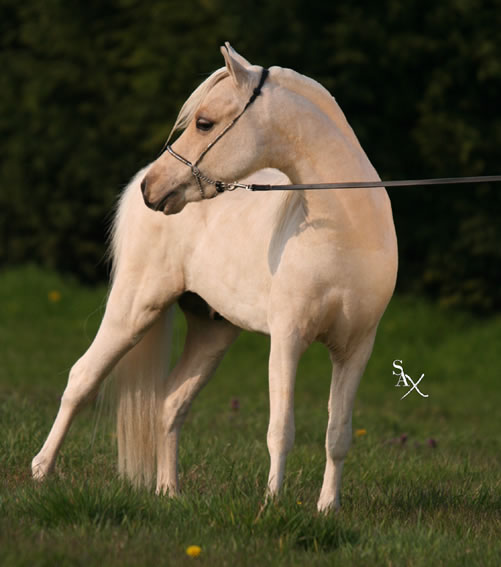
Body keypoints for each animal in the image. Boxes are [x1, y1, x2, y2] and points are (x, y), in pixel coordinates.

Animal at [32, 43, 398, 512]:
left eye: (204, 123)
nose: (154, 187)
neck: (345, 233)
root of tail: (136, 182)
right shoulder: (288, 339)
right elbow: (281, 430)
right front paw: (272, 505)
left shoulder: (355, 350)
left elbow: (338, 436)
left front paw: (327, 510)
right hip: (133, 309)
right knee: (81, 380)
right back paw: (42, 472)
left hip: (213, 331)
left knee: (170, 404)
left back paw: (168, 491)